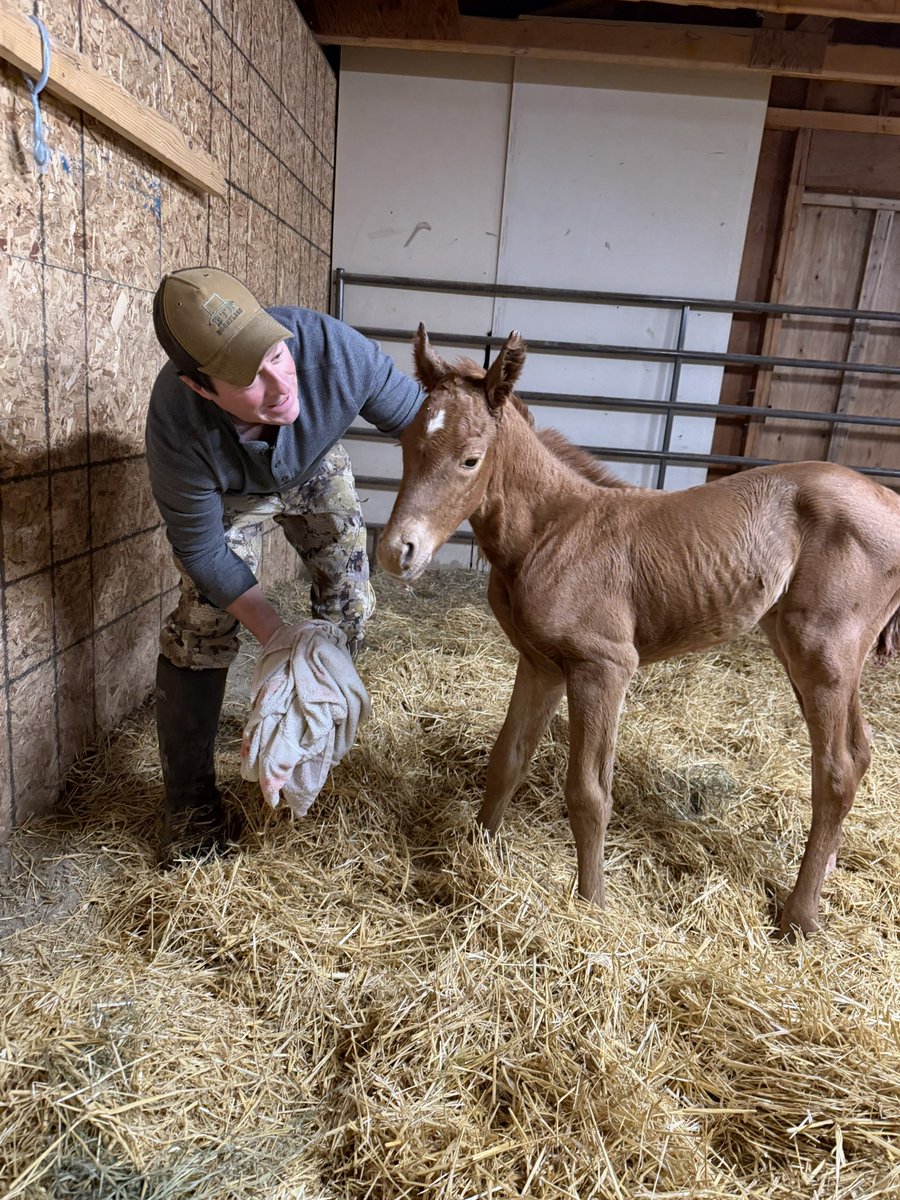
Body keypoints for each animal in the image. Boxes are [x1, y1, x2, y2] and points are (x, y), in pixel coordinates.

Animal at [376, 326, 900, 937]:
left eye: (469, 460)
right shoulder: (540, 663)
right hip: (816, 655)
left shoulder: (603, 668)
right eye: (407, 446)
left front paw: (592, 905)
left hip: (823, 652)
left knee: (836, 770)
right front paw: (476, 853)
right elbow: (507, 760)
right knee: (858, 756)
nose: (397, 551)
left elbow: (588, 793)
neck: (553, 532)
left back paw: (799, 915)